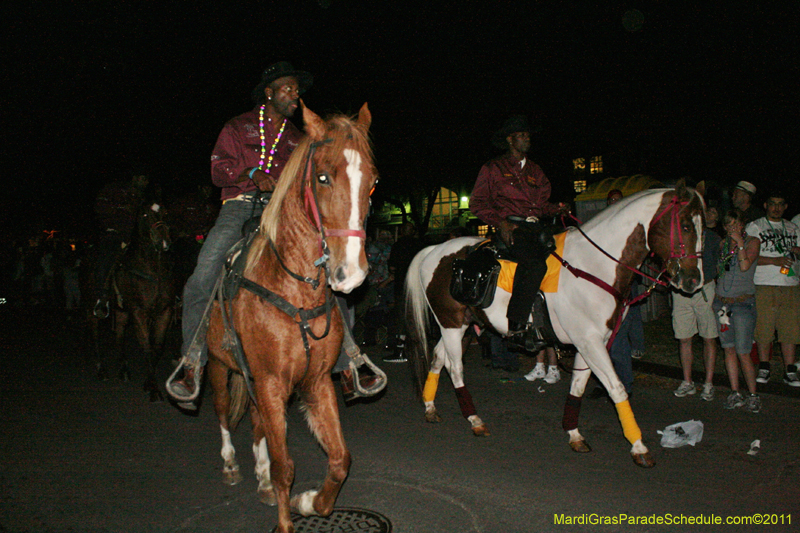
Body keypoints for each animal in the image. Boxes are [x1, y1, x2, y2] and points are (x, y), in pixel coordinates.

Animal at [109, 204, 175, 400]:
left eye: (165, 212)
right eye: (145, 214)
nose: (164, 241)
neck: (153, 270)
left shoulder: (165, 311)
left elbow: (157, 347)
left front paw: (148, 382)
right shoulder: (138, 312)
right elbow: (146, 345)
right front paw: (153, 388)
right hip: (121, 312)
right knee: (119, 336)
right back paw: (122, 370)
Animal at [203, 103, 378, 532]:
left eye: (372, 183)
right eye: (322, 176)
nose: (351, 273)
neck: (294, 290)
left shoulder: (316, 382)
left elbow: (340, 460)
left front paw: (310, 502)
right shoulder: (269, 382)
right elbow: (287, 467)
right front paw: (287, 516)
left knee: (256, 422)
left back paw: (261, 477)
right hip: (218, 364)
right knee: (222, 410)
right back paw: (231, 464)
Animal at [410, 183, 704, 466]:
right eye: (686, 226)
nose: (693, 281)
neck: (592, 267)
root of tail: (434, 250)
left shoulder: (589, 343)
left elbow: (578, 387)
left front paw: (574, 434)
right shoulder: (590, 343)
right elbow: (616, 388)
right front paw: (639, 446)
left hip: (461, 327)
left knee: (438, 358)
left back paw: (430, 407)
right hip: (451, 325)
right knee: (455, 368)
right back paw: (474, 420)